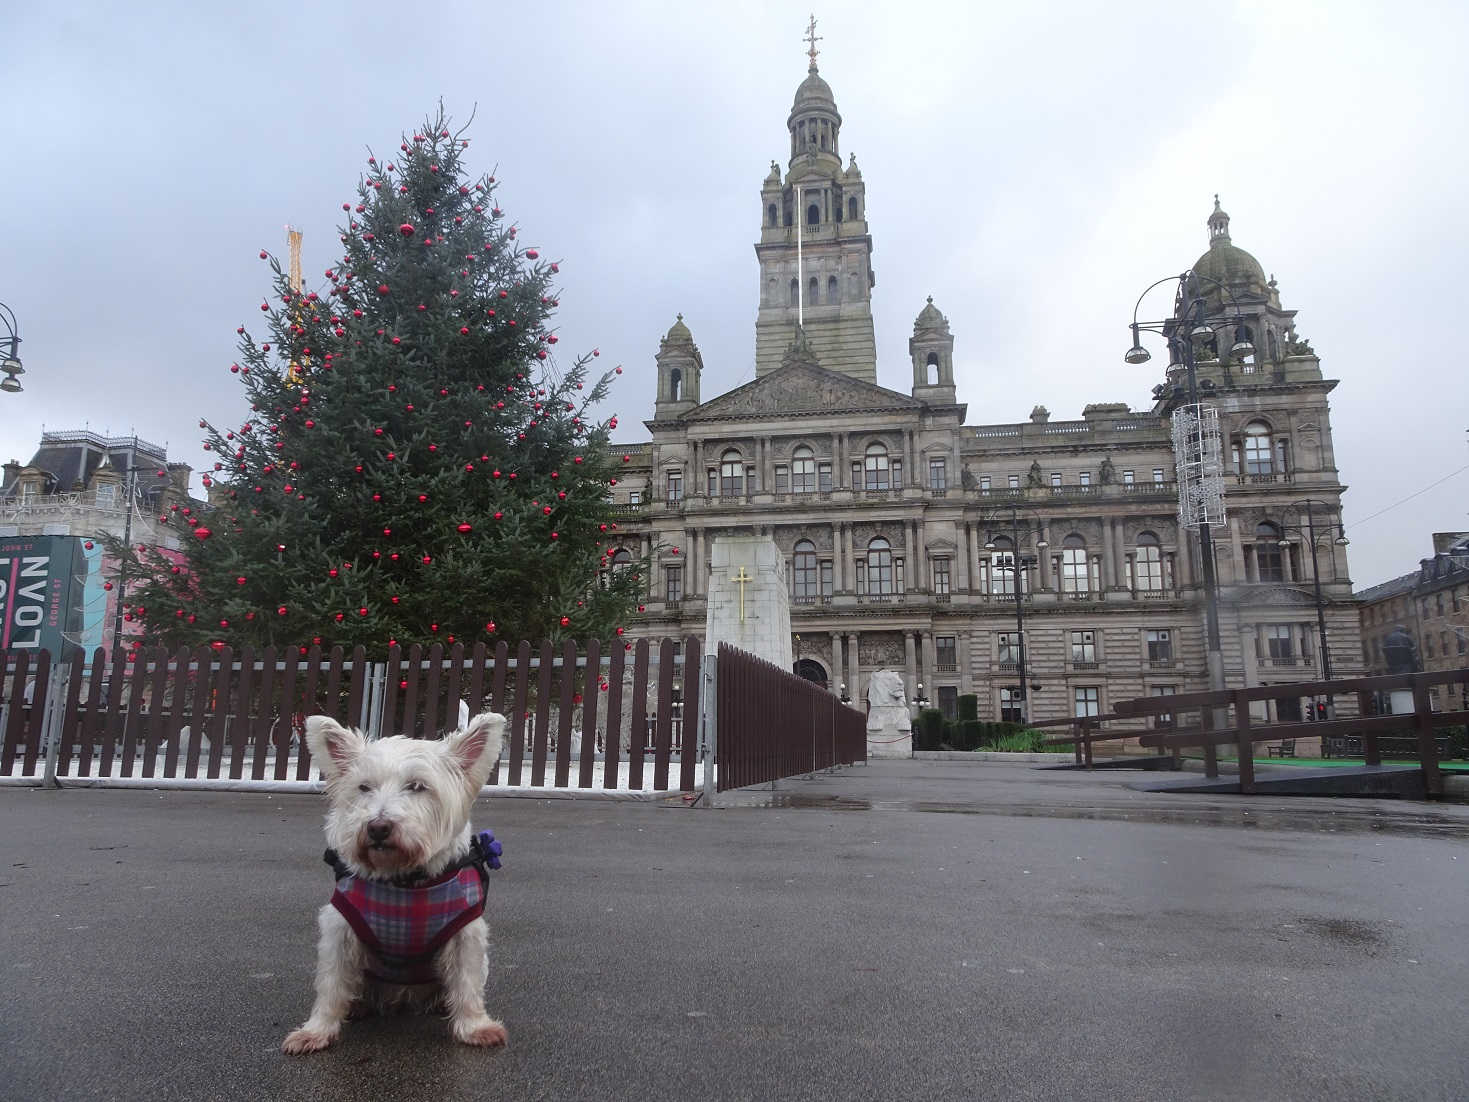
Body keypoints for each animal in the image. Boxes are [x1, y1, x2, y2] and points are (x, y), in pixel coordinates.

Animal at [282, 711, 511, 1057]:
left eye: (417, 786)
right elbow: (331, 984)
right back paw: (357, 1006)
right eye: (364, 787)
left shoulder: (465, 934)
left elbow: (468, 981)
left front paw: (475, 1027)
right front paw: (315, 1031)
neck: (405, 882)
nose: (377, 827)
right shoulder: (340, 929)